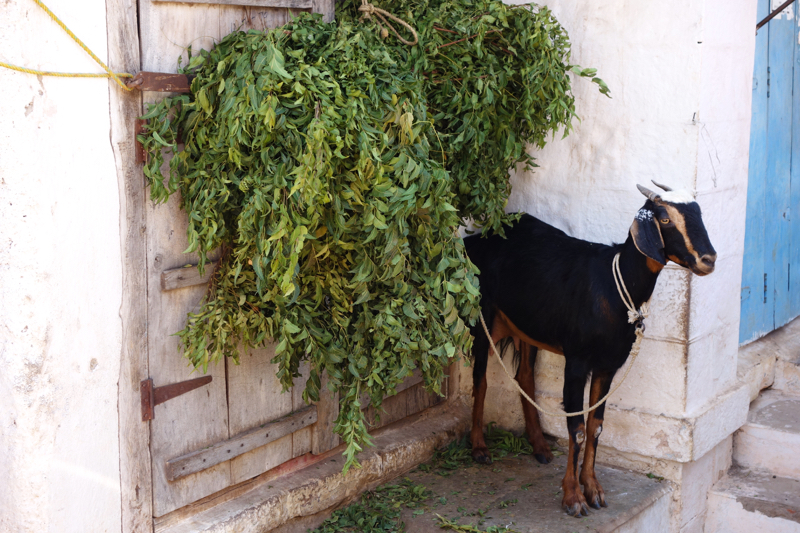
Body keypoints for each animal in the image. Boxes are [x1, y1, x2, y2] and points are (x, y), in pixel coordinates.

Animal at [463, 182, 716, 517]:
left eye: (698, 213)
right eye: (664, 218)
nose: (708, 259)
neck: (614, 285)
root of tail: (474, 238)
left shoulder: (608, 365)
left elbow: (596, 426)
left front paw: (593, 489)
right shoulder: (577, 361)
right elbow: (577, 428)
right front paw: (573, 497)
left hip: (528, 327)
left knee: (524, 375)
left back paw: (540, 446)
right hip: (483, 315)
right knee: (480, 379)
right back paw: (479, 447)